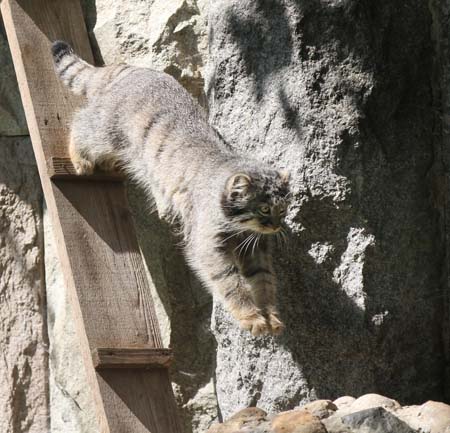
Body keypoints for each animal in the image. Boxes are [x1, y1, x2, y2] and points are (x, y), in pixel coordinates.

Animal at [52, 40, 290, 336]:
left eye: (283, 209)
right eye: (264, 209)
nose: (277, 226)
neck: (239, 227)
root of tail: (131, 69)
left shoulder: (255, 248)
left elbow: (265, 281)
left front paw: (271, 315)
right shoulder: (207, 246)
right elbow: (230, 284)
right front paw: (251, 317)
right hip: (106, 130)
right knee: (81, 123)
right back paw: (80, 158)